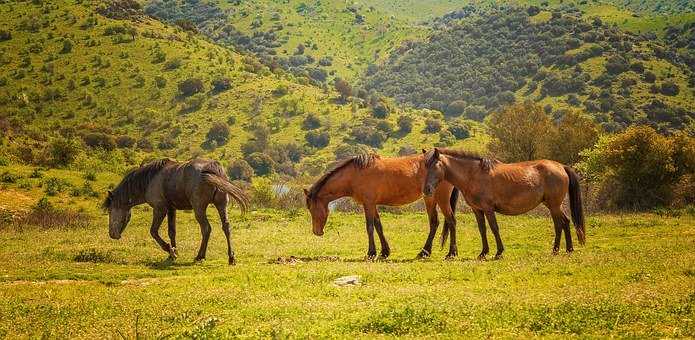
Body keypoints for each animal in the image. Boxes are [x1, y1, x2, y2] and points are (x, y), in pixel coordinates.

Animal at [104, 158, 251, 264]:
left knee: (206, 229)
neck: (150, 180)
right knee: (226, 227)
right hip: (221, 205)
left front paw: (170, 250)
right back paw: (231, 258)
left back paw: (200, 256)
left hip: (199, 208)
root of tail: (213, 168)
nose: (112, 234)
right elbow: (172, 232)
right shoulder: (171, 209)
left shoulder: (160, 209)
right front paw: (174, 253)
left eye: (110, 210)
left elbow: (153, 231)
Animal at [306, 153, 462, 258]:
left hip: (441, 199)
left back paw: (451, 253)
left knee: (451, 221)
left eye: (312, 209)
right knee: (434, 223)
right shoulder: (372, 204)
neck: (356, 174)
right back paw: (425, 252)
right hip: (430, 199)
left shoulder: (368, 203)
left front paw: (371, 252)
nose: (317, 232)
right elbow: (378, 226)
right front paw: (385, 251)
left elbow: (369, 227)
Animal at [422, 147, 584, 258]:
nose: (426, 189)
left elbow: (494, 228)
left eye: (435, 166)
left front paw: (499, 252)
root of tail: (561, 166)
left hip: (554, 205)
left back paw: (557, 250)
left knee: (559, 224)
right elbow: (482, 230)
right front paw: (483, 252)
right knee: (565, 222)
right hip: (553, 205)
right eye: (425, 167)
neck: (473, 175)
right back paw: (567, 249)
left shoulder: (488, 209)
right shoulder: (477, 210)